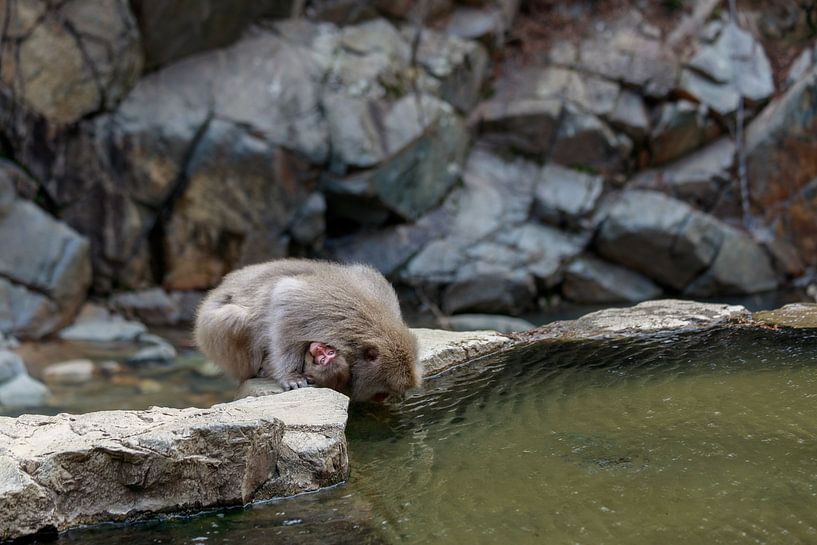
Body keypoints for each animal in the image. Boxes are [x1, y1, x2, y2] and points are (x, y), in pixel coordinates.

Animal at [193, 258, 420, 402]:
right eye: (381, 392)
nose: (384, 400)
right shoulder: (317, 308)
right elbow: (284, 299)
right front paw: (290, 375)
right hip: (210, 331)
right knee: (235, 318)